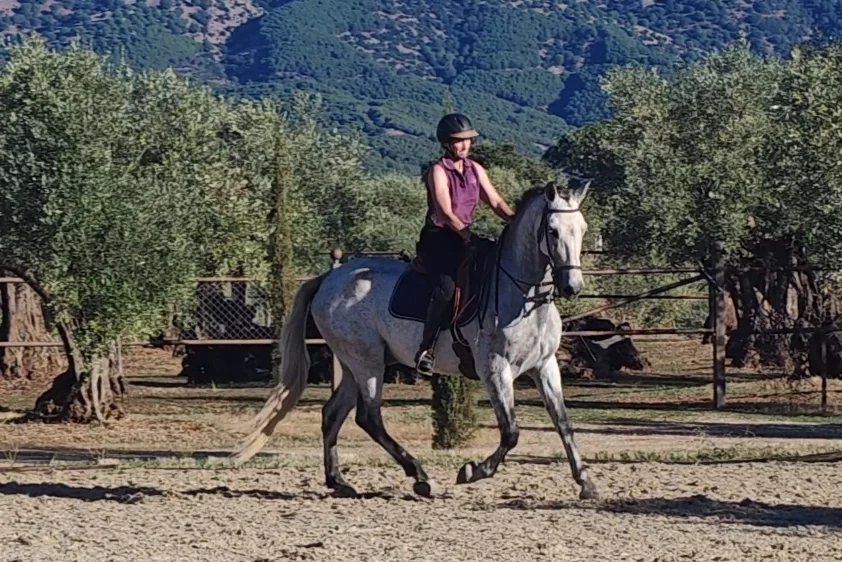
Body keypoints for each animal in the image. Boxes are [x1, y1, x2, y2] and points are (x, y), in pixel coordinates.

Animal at [230, 180, 600, 501]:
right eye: (552, 231)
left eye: (582, 229)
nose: (572, 287)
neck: (523, 296)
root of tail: (327, 280)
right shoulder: (494, 368)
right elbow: (511, 431)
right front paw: (472, 471)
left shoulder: (544, 366)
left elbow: (563, 423)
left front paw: (586, 482)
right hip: (367, 363)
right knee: (369, 417)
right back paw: (418, 476)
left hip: (353, 364)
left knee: (332, 414)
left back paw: (339, 481)